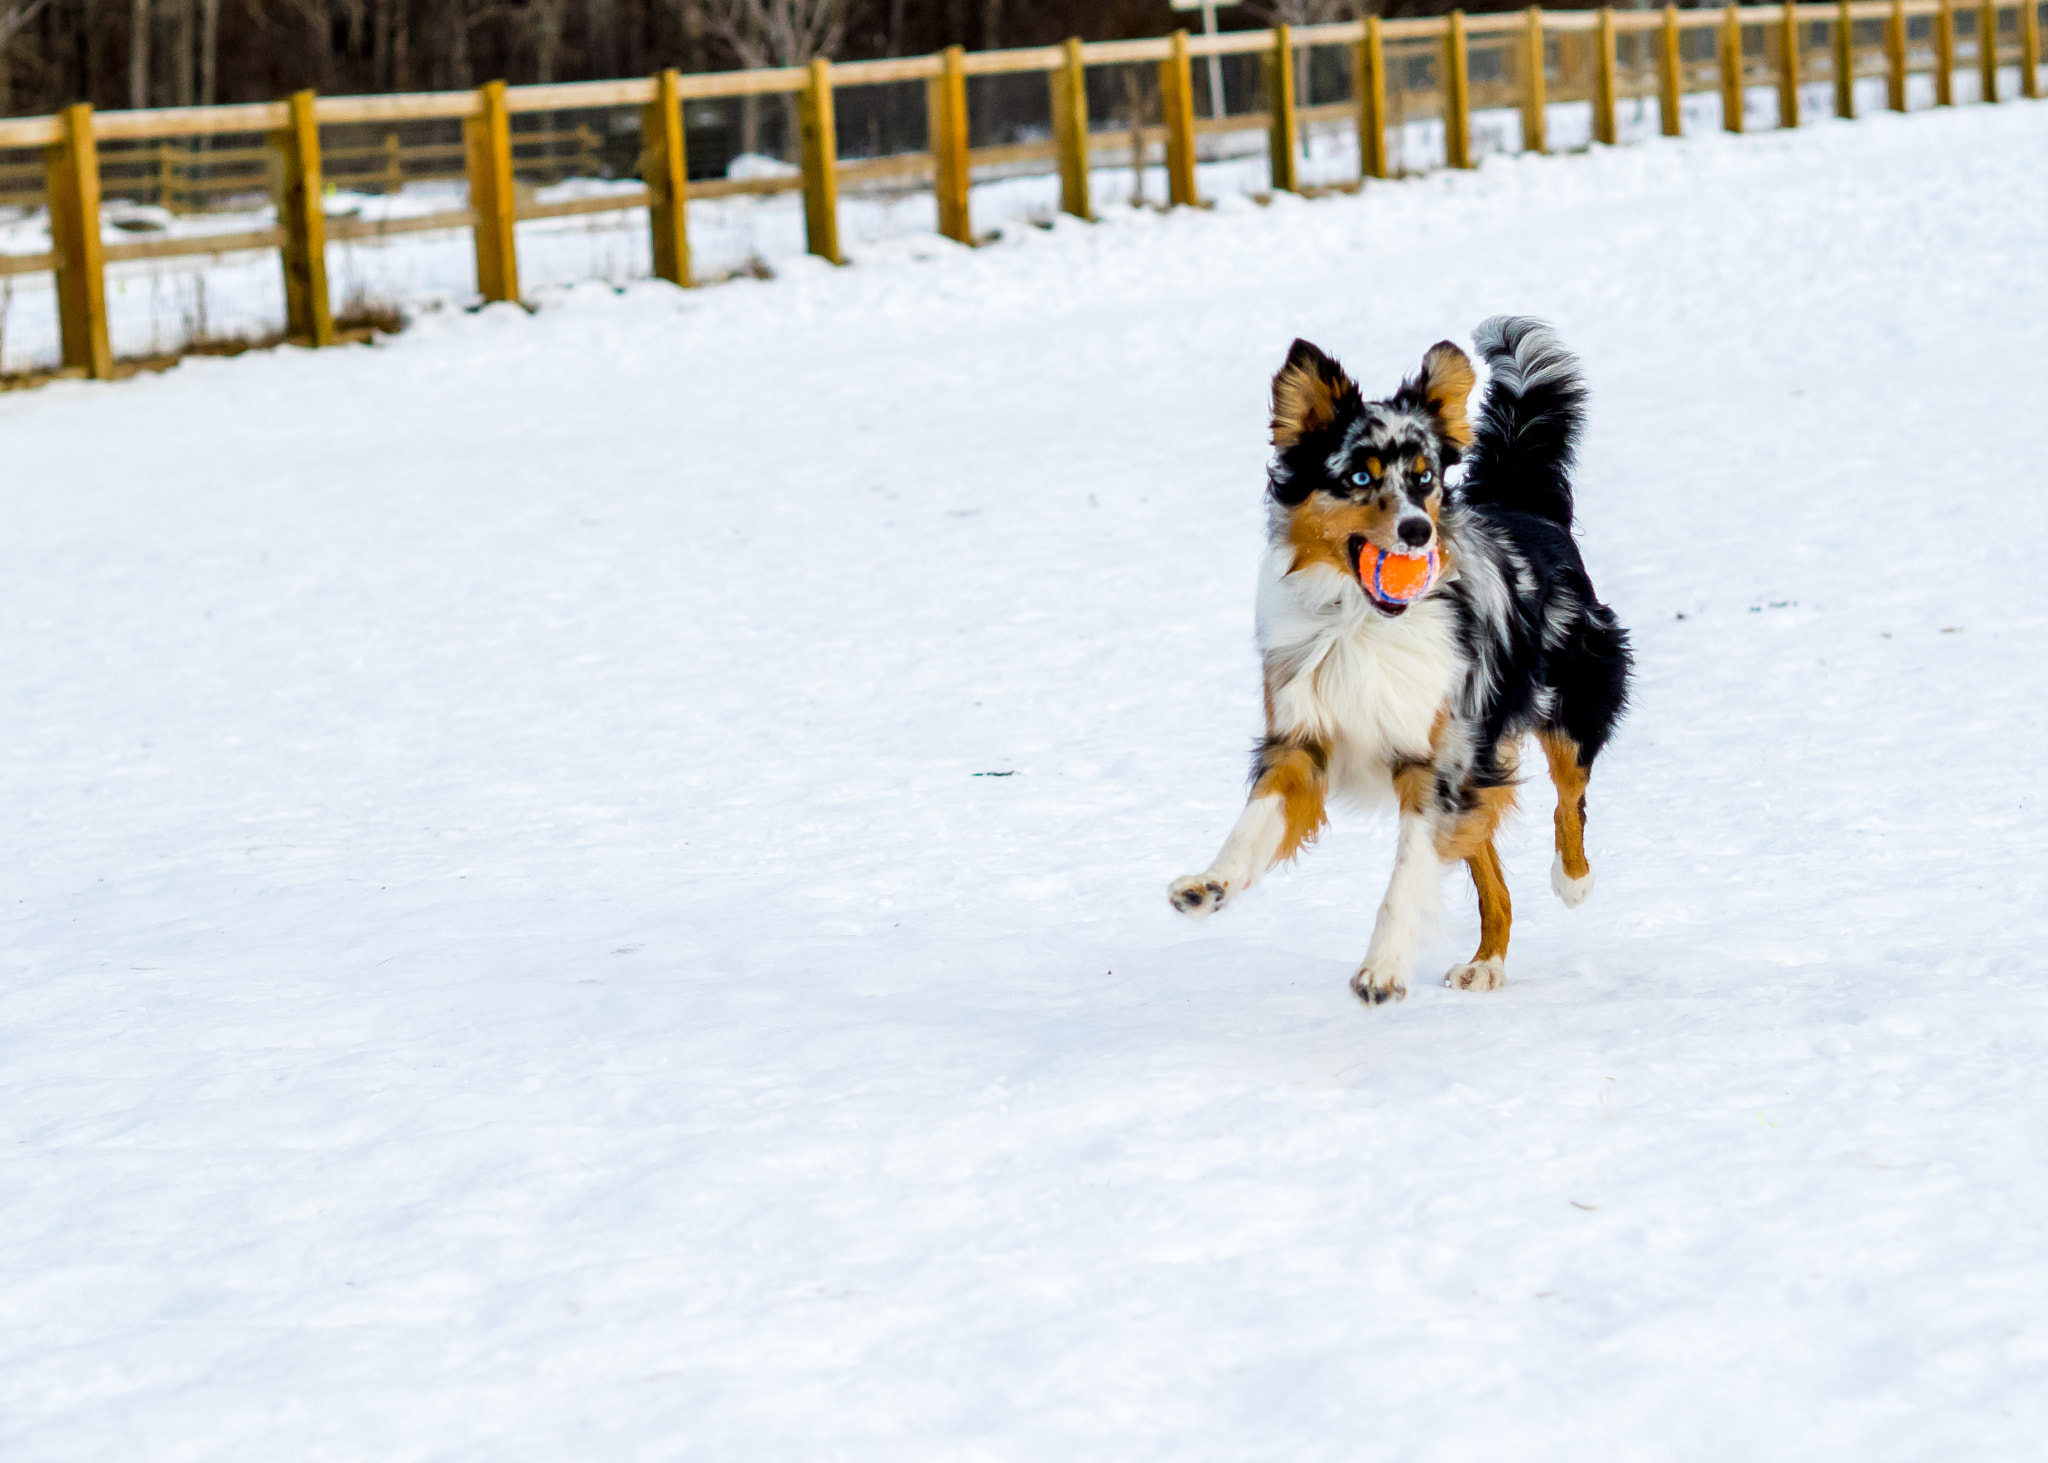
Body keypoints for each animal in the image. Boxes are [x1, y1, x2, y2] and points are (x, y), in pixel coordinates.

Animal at [1171, 315, 1630, 1004]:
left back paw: (1572, 880)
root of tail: (1525, 506)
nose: (1418, 531)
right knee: (1491, 871)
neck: (1362, 622)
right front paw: (1211, 883)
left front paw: (1382, 968)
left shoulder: (1438, 763)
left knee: (1569, 792)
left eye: (1424, 478)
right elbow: (1252, 824)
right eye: (1359, 478)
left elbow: (1407, 877)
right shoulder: (1302, 740)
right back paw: (1486, 963)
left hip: (1569, 697)